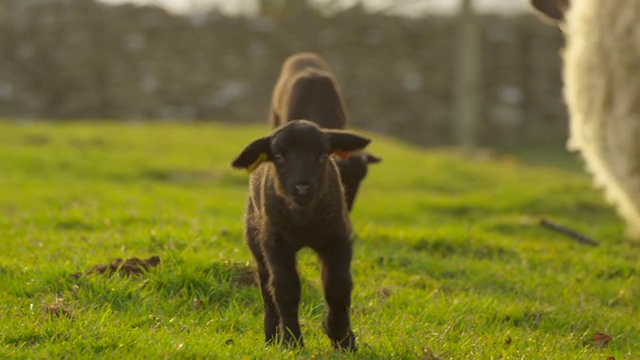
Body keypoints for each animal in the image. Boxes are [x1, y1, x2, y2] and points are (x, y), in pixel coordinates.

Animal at [231, 119, 372, 350]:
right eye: (278, 157)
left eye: (323, 156)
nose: (302, 187)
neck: (303, 221)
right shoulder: (275, 242)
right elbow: (286, 288)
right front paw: (291, 341)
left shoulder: (337, 238)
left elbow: (338, 286)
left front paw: (341, 337)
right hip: (256, 241)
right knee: (266, 287)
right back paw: (271, 336)